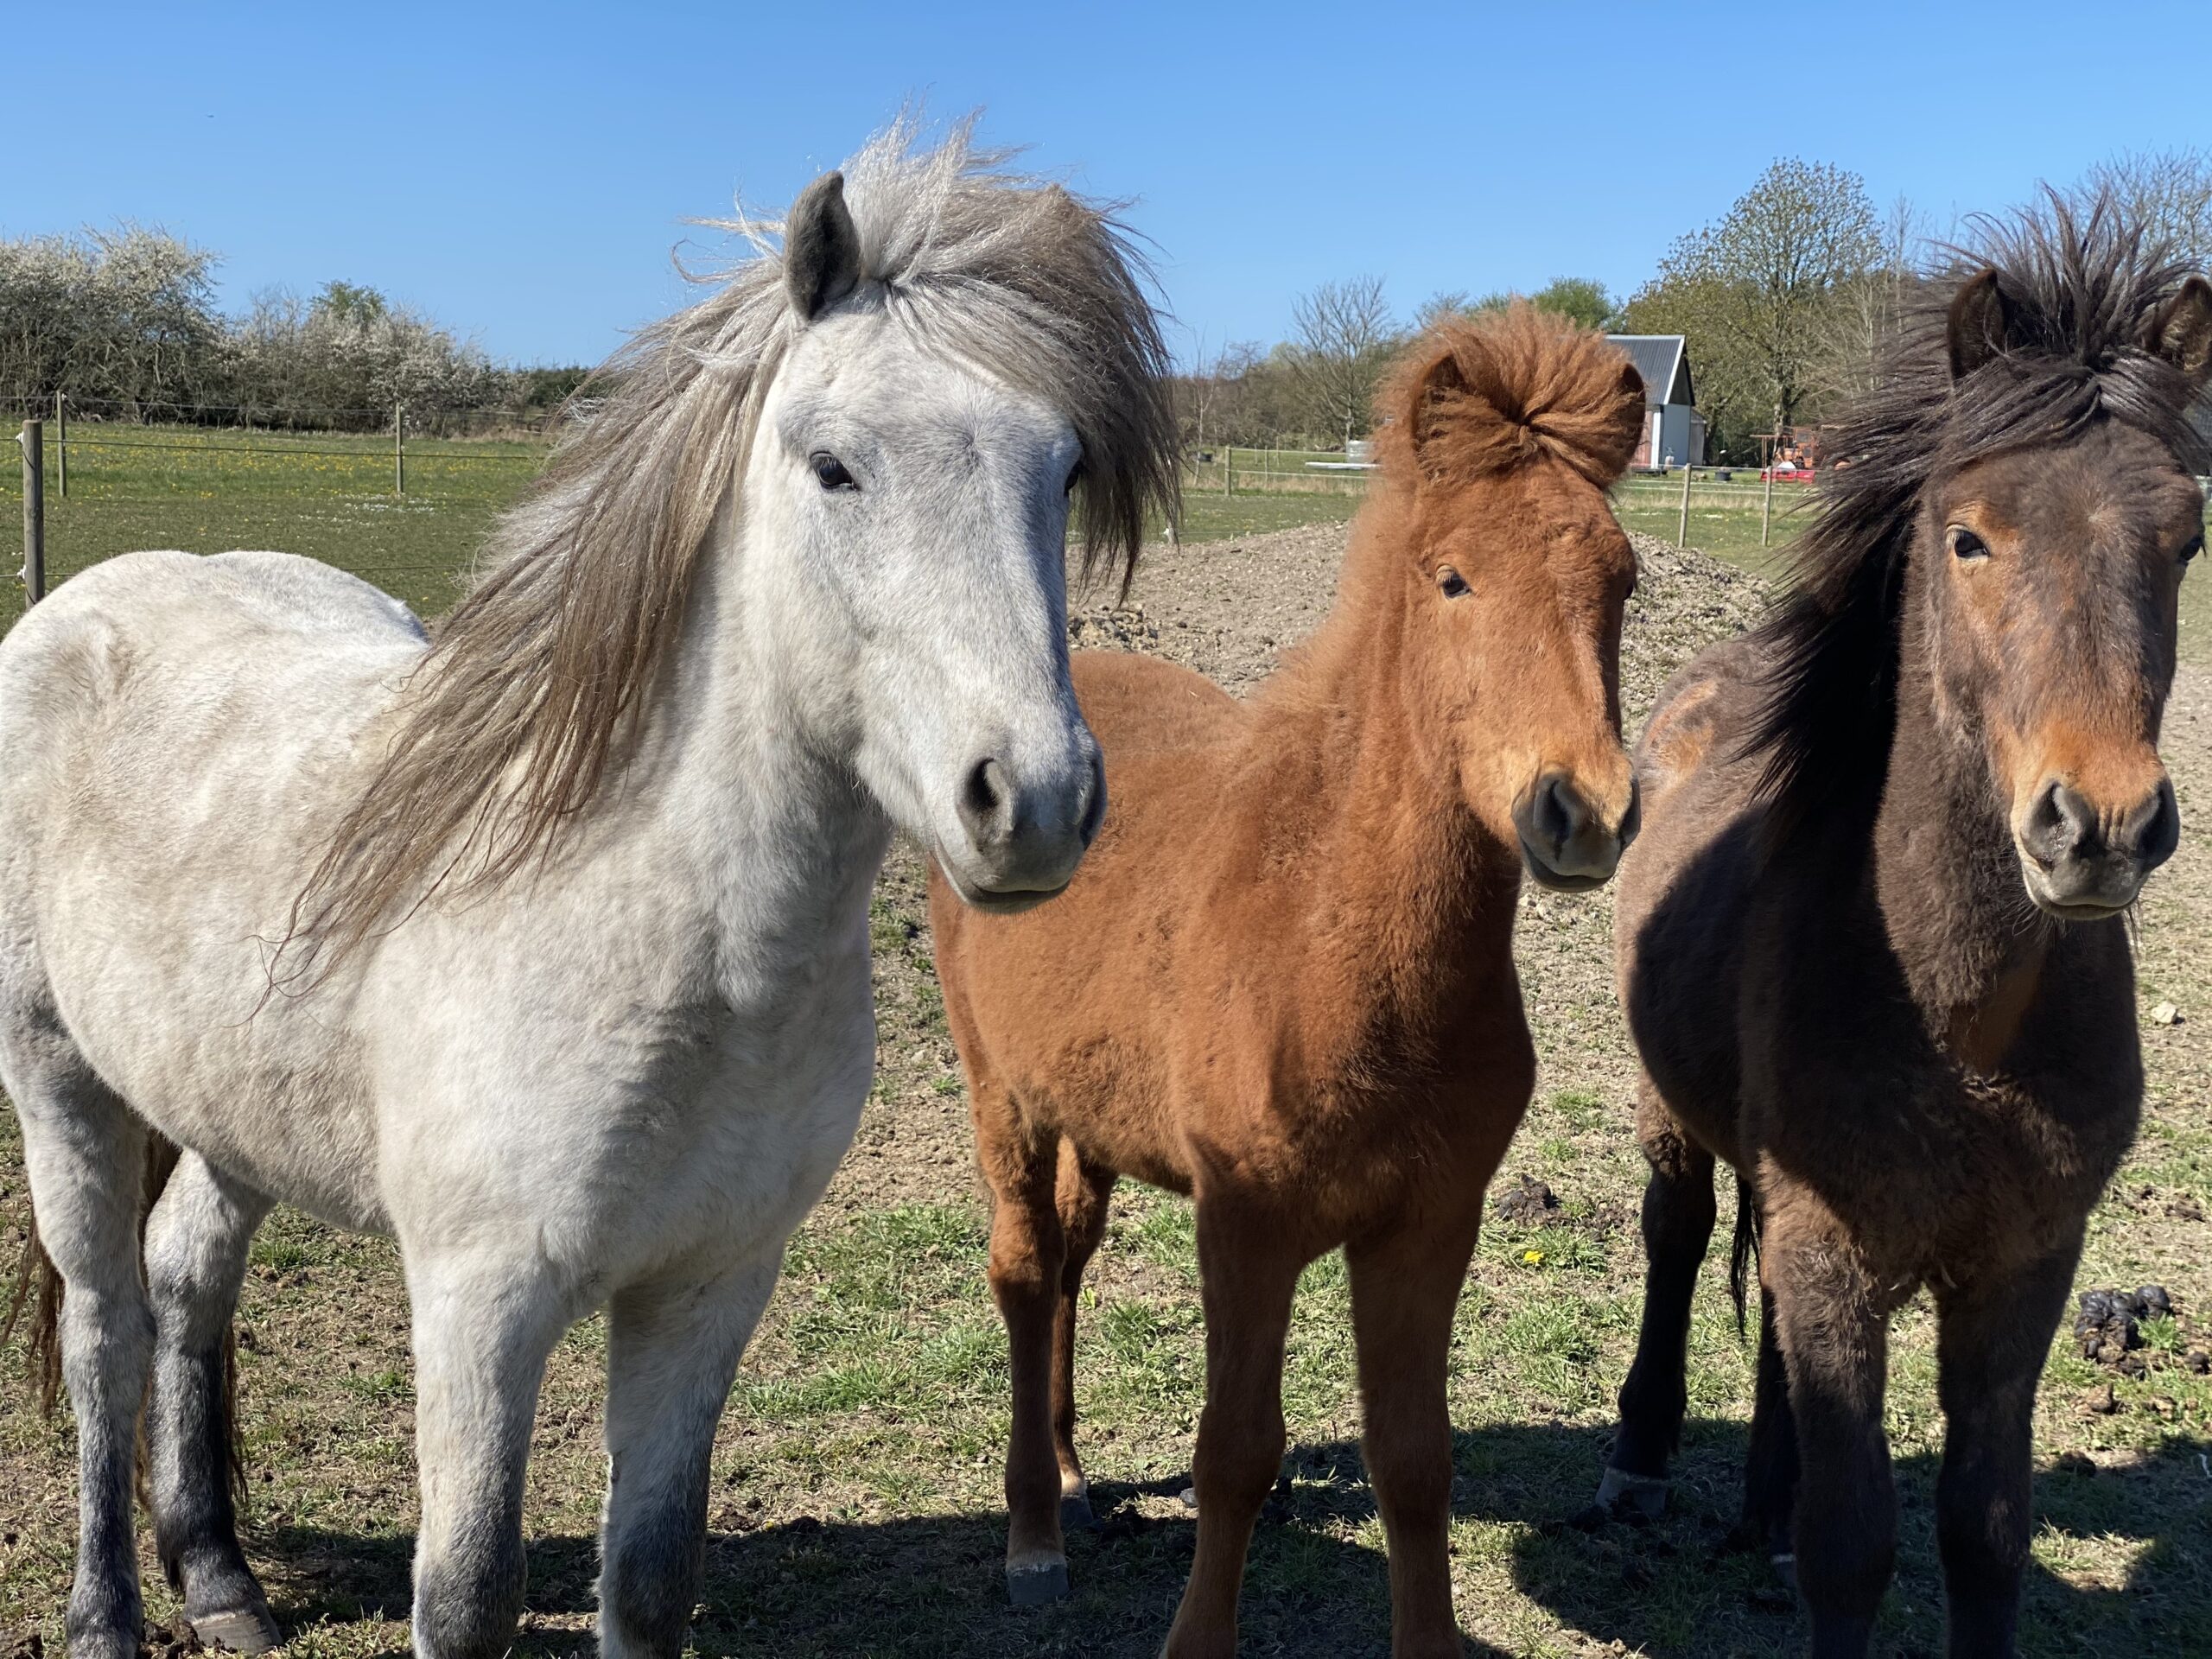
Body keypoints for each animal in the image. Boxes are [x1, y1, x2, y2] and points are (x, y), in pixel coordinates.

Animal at [929, 305, 1645, 1654]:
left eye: (1621, 579)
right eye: (1452, 578)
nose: (1581, 812)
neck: (1333, 946)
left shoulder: (1428, 1225)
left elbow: (1413, 1461)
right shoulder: (1246, 1227)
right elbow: (1235, 1456)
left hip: (1092, 1118)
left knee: (1072, 1261)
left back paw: (1074, 1477)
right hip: (1004, 1095)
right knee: (1023, 1273)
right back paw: (1033, 1535)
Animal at [1601, 198, 2212, 1659]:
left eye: (2186, 542)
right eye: (1969, 538)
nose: (2099, 827)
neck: (1960, 1022)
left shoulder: (2024, 1269)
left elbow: (1982, 1534)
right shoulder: (1836, 1249)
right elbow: (1856, 1547)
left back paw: (1761, 1503)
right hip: (1672, 1118)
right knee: (1678, 1238)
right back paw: (1640, 1462)